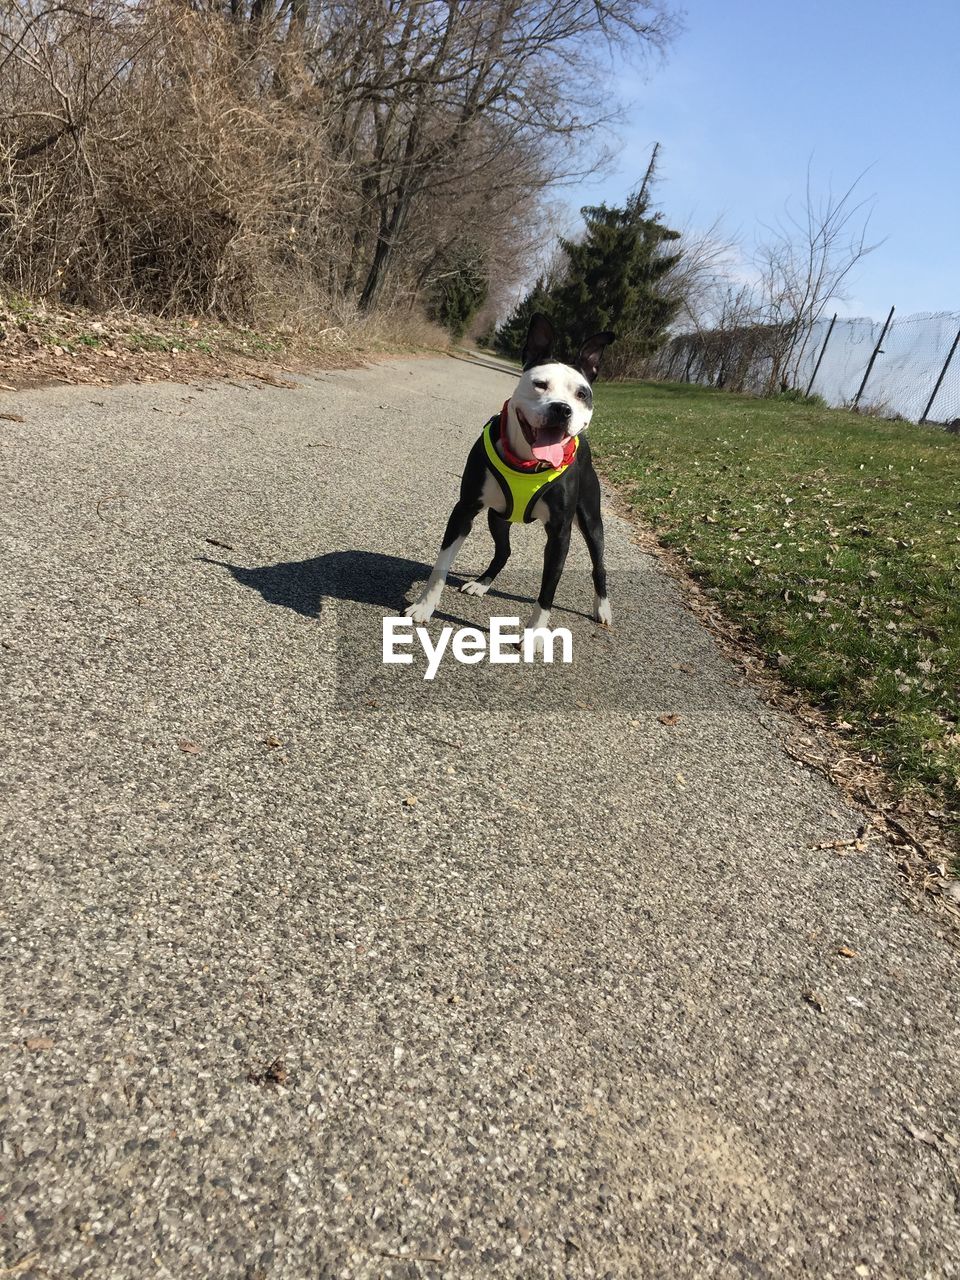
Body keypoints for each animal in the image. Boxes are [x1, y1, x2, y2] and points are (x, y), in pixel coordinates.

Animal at [404, 309, 616, 629]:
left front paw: (535, 633)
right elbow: (441, 565)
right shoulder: (464, 510)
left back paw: (602, 607)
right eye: (540, 384)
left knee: (599, 564)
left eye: (582, 394)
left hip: (591, 520)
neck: (528, 463)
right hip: (498, 516)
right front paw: (424, 606)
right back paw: (482, 583)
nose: (562, 408)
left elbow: (548, 588)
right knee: (505, 550)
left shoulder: (559, 533)